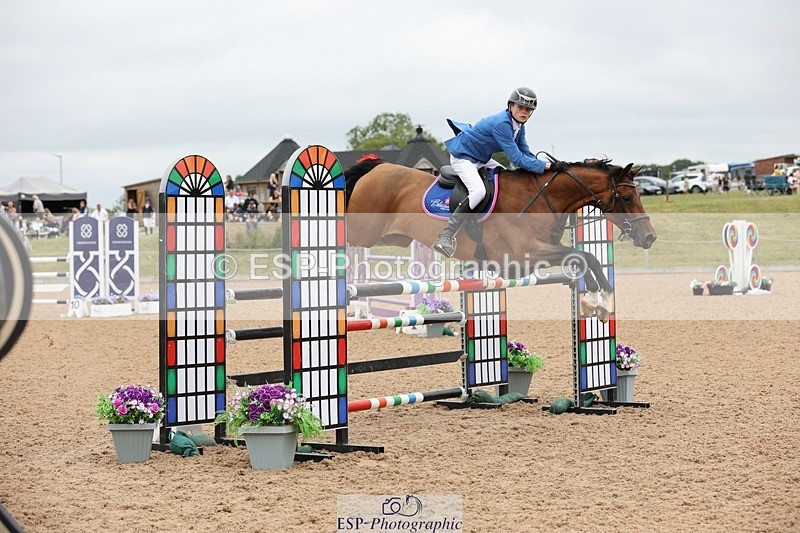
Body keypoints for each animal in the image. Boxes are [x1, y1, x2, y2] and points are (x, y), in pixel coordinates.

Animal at [343, 158, 657, 320]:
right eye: (627, 197)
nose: (650, 237)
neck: (542, 198)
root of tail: (377, 166)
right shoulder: (523, 256)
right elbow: (583, 256)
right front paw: (597, 299)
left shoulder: (536, 256)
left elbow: (585, 258)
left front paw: (599, 300)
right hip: (364, 231)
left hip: (394, 239)